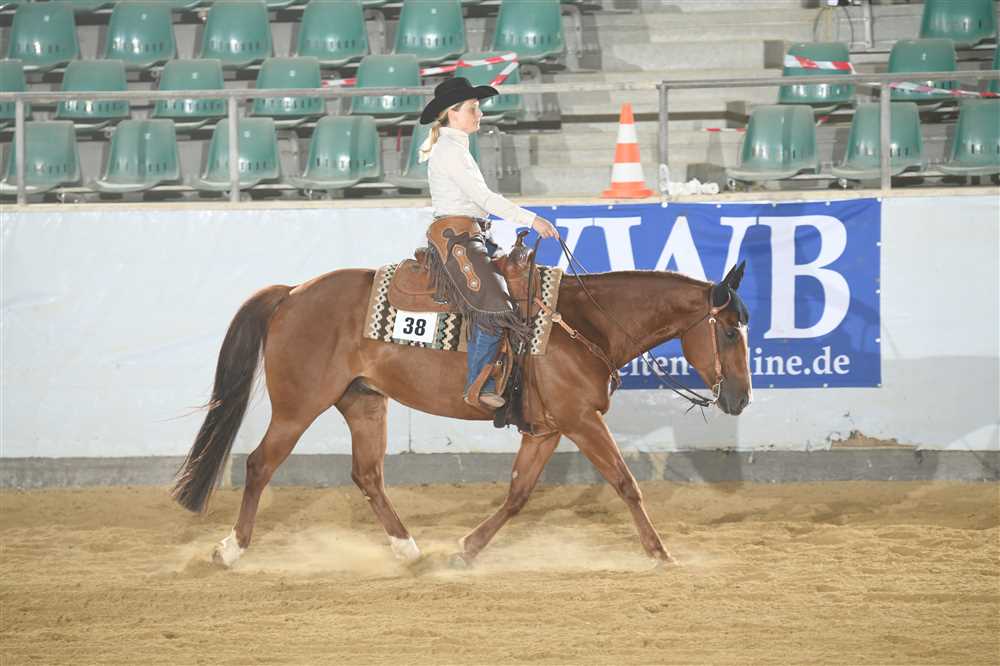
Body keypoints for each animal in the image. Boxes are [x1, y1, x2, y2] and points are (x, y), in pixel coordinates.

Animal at [171, 252, 753, 568]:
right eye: (728, 331)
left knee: (368, 475)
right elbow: (626, 484)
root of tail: (292, 293)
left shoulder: (546, 430)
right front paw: (660, 553)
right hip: (298, 406)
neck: (583, 323)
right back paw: (231, 550)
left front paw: (466, 550)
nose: (741, 397)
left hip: (363, 402)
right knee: (259, 465)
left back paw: (409, 552)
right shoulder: (581, 421)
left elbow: (518, 495)